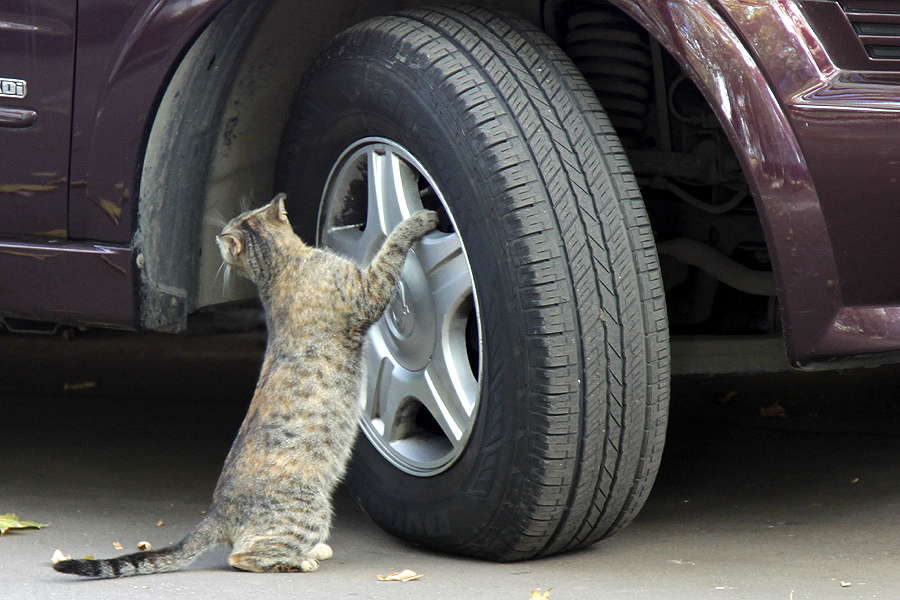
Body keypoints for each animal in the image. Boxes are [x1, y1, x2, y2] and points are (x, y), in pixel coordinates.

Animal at [52, 192, 440, 576]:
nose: (216, 243)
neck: (281, 270)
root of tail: (217, 513)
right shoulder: (368, 291)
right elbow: (392, 247)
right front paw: (420, 219)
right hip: (309, 511)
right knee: (242, 557)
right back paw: (301, 560)